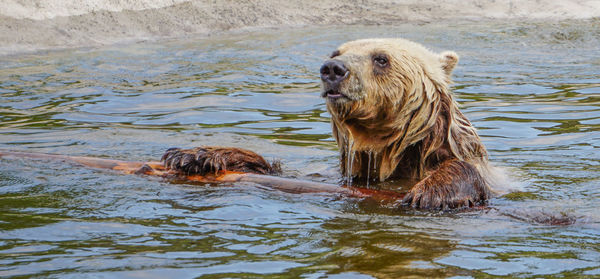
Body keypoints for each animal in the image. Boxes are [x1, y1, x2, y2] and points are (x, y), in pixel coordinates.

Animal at [162, 38, 494, 211]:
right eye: (337, 52)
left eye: (381, 58)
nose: (333, 69)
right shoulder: (342, 175)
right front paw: (192, 155)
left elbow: (460, 170)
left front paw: (431, 192)